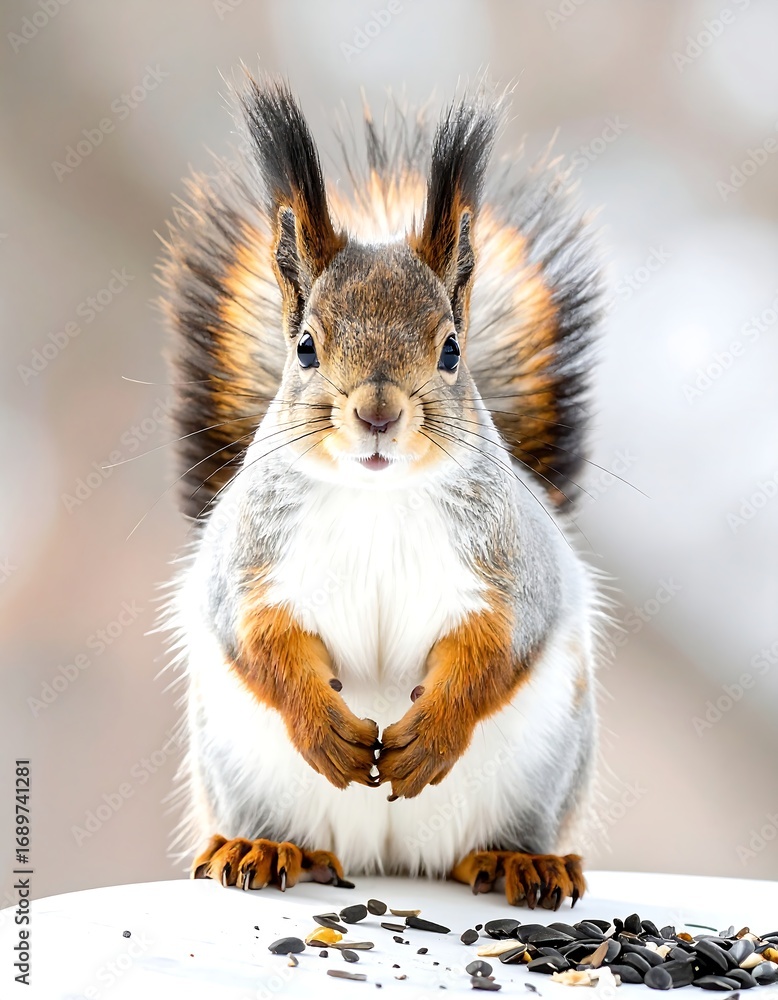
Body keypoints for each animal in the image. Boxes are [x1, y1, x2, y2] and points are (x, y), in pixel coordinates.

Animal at [158, 72, 604, 909]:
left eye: (452, 349)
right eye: (305, 347)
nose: (376, 412)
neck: (376, 497)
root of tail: (390, 860)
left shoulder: (514, 569)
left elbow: (500, 646)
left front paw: (432, 734)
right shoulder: (247, 563)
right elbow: (256, 638)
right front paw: (324, 726)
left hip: (544, 765)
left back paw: (517, 862)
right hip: (238, 763)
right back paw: (264, 847)